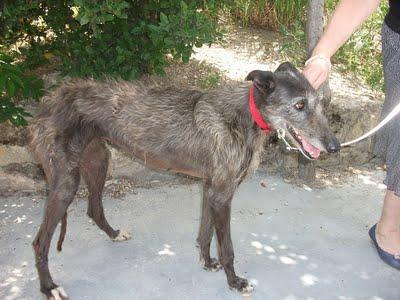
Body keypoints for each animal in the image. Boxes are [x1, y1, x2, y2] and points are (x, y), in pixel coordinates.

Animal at [28, 62, 340, 298]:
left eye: (320, 104)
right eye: (299, 105)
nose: (334, 146)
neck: (245, 116)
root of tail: (48, 101)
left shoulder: (211, 188)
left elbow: (205, 233)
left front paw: (207, 262)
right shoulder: (223, 194)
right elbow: (227, 247)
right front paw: (234, 281)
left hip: (98, 160)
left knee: (93, 209)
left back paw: (114, 234)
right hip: (66, 182)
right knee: (40, 242)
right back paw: (49, 287)